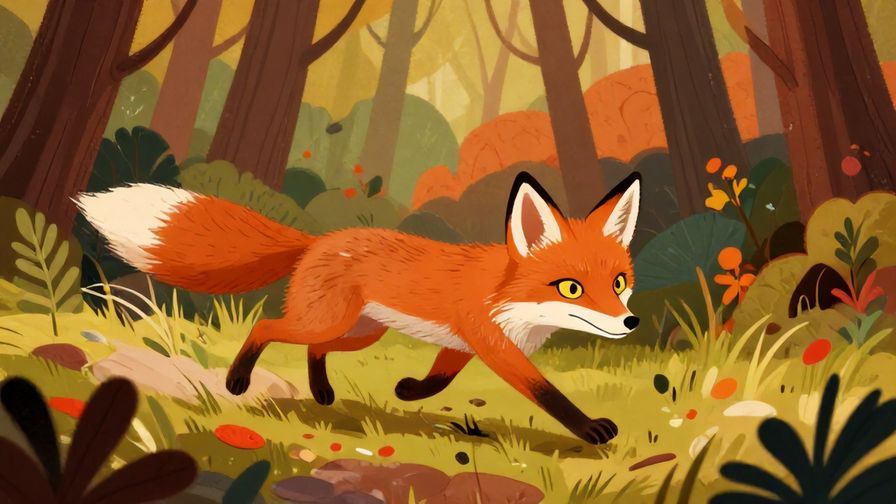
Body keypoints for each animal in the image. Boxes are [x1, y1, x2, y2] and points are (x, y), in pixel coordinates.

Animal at [75, 171, 641, 444]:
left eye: (618, 282)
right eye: (571, 288)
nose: (630, 321)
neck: (510, 298)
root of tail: (318, 240)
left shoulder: (463, 344)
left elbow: (440, 380)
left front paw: (408, 391)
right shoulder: (493, 343)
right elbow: (547, 392)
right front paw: (592, 430)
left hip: (359, 330)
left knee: (315, 348)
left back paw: (322, 392)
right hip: (326, 319)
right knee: (267, 325)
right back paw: (238, 380)